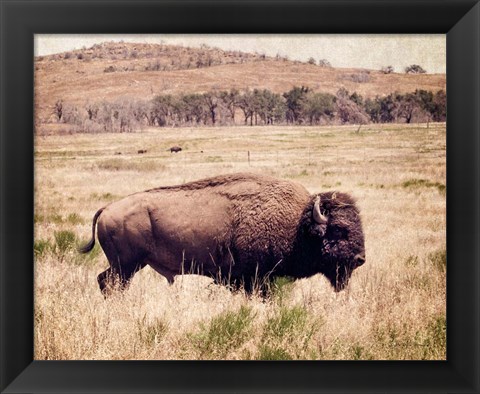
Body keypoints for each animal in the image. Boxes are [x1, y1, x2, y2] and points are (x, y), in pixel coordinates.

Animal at [79, 173, 364, 296]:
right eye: (339, 229)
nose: (360, 258)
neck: (297, 224)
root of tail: (108, 208)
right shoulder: (253, 278)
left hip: (127, 266)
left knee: (104, 280)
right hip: (126, 266)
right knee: (110, 283)